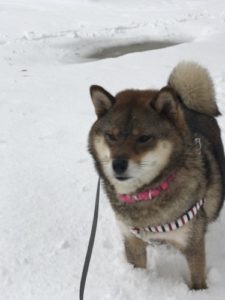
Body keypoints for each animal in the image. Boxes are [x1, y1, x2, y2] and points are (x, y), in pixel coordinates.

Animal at [87, 62, 225, 290]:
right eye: (111, 136)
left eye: (144, 138)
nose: (118, 165)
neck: (146, 193)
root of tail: (186, 104)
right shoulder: (132, 241)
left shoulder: (192, 245)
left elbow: (197, 279)